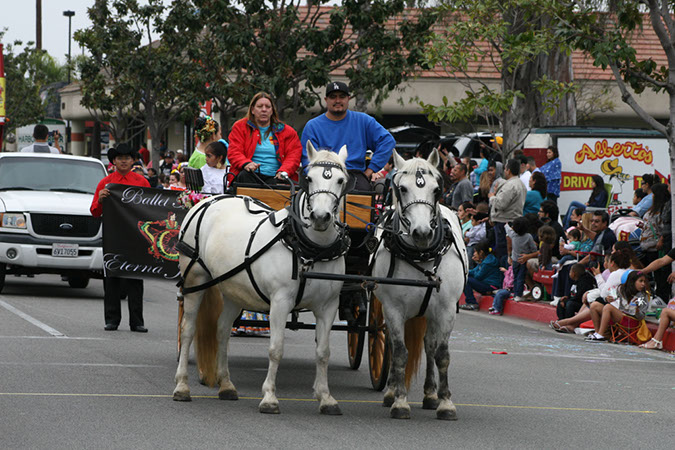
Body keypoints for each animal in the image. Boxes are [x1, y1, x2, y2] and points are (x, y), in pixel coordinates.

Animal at [173, 143, 354, 414]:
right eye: (309, 178)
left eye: (341, 180)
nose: (321, 217)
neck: (309, 249)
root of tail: (209, 199)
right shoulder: (280, 302)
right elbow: (276, 349)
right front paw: (269, 397)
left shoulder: (328, 306)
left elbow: (323, 352)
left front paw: (326, 398)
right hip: (195, 280)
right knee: (188, 329)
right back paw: (182, 385)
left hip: (232, 289)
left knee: (222, 331)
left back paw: (226, 385)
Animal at [370, 149, 470, 420]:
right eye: (403, 188)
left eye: (436, 190)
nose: (422, 233)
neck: (421, 255)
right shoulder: (393, 309)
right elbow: (400, 352)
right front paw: (399, 401)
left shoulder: (446, 309)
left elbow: (441, 354)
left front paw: (445, 403)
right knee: (391, 345)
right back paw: (391, 391)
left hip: (430, 312)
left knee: (429, 346)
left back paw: (430, 394)